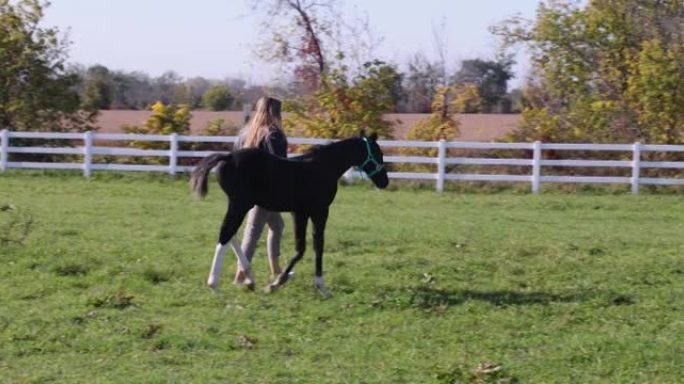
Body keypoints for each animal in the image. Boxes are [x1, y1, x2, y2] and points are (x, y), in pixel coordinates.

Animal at [190, 132, 390, 296]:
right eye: (378, 153)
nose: (384, 182)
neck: (323, 168)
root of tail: (229, 156)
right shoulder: (319, 212)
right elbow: (316, 246)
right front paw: (317, 286)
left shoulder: (300, 213)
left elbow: (301, 248)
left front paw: (277, 282)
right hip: (240, 204)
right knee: (226, 233)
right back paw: (214, 284)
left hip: (241, 205)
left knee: (231, 234)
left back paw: (249, 279)